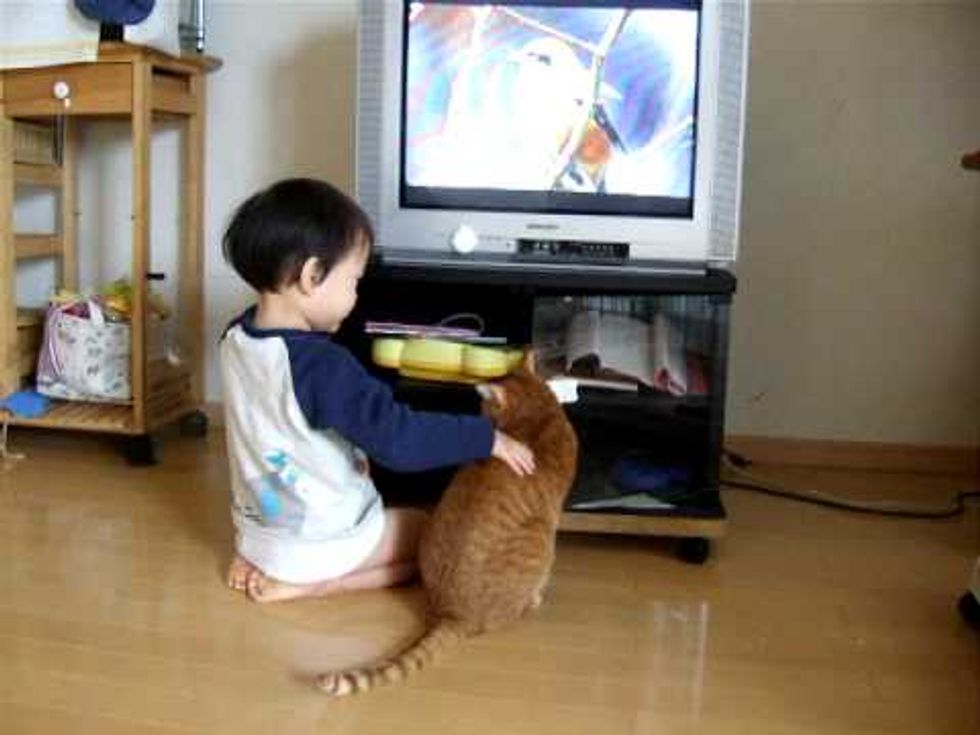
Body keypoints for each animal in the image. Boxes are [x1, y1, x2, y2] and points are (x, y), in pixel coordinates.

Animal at [314, 354, 580, 700]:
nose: (482, 417)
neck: (538, 413)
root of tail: (453, 613)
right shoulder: (556, 512)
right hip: (542, 539)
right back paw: (531, 602)